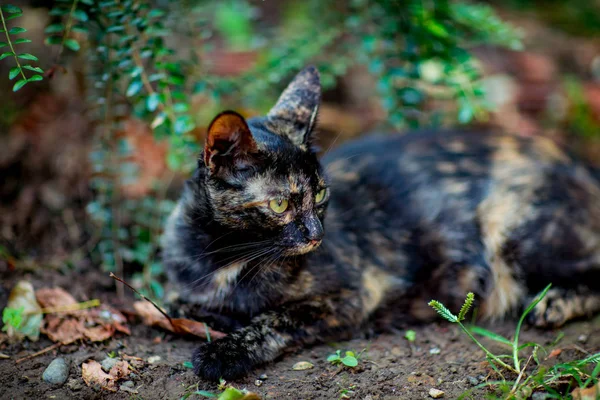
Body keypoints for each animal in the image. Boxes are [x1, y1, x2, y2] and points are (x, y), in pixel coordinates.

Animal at [162, 65, 600, 382]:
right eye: (280, 203)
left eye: (319, 194)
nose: (318, 235)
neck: (225, 256)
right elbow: (178, 304)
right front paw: (215, 315)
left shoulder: (353, 295)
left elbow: (275, 319)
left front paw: (225, 352)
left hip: (513, 230)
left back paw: (553, 303)